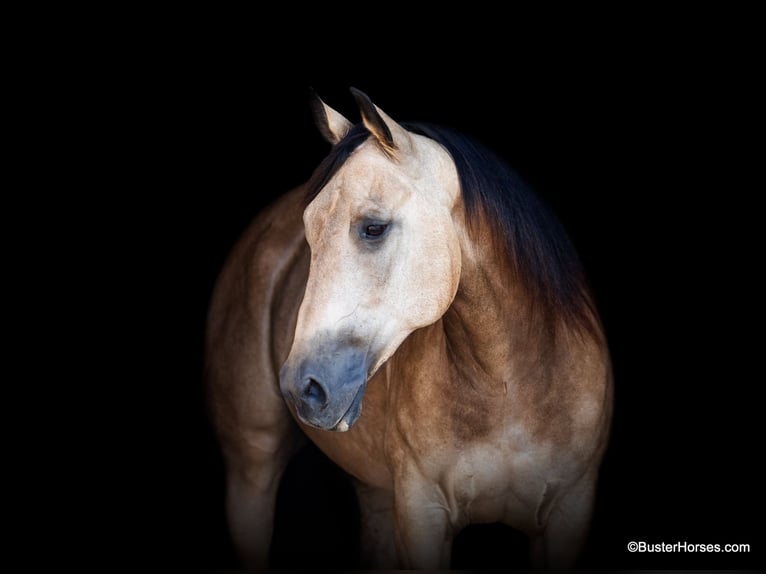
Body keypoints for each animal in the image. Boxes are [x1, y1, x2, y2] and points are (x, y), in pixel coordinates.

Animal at [205, 88, 613, 570]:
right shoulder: (423, 515)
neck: (509, 384)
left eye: (373, 228)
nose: (301, 388)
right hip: (252, 471)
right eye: (308, 231)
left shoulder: (568, 515)